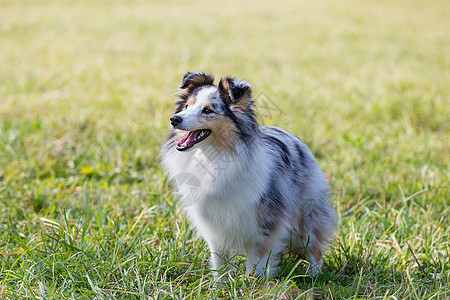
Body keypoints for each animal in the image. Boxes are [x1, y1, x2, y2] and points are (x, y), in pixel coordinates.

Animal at [160, 72, 336, 276]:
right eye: (187, 106)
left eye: (208, 110)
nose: (174, 119)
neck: (213, 158)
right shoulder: (215, 228)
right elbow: (219, 263)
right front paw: (220, 283)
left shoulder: (264, 227)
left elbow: (256, 264)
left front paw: (252, 282)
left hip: (306, 213)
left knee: (314, 245)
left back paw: (313, 276)